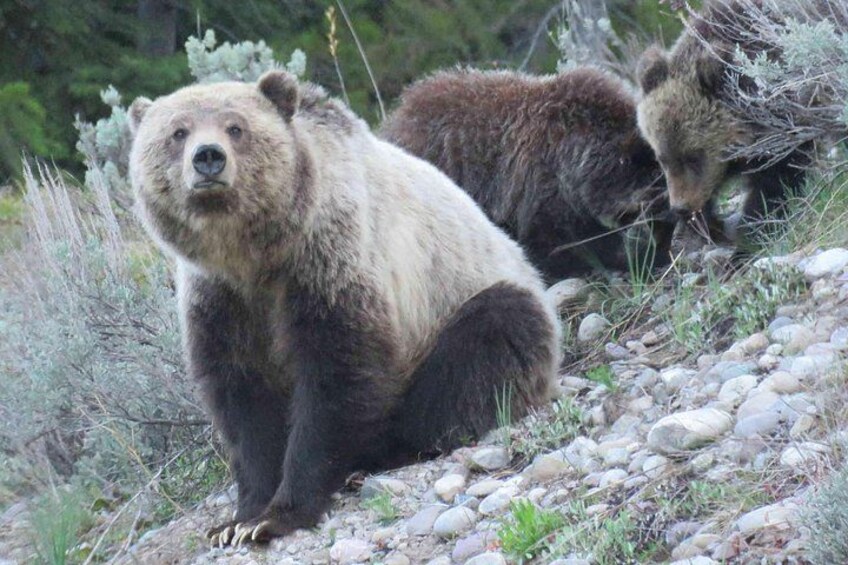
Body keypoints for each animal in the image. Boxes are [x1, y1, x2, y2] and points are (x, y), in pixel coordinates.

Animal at [127, 70, 561, 546]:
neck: (254, 255)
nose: (208, 157)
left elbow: (337, 376)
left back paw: (389, 449)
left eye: (235, 127)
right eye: (177, 132)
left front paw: (280, 513)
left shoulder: (329, 261)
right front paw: (237, 520)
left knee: (488, 343)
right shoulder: (221, 301)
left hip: (464, 302)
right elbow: (243, 400)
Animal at [635, 0, 817, 249]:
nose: (681, 207)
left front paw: (751, 236)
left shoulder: (783, 121)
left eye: (693, 157)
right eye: (663, 159)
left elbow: (779, 177)